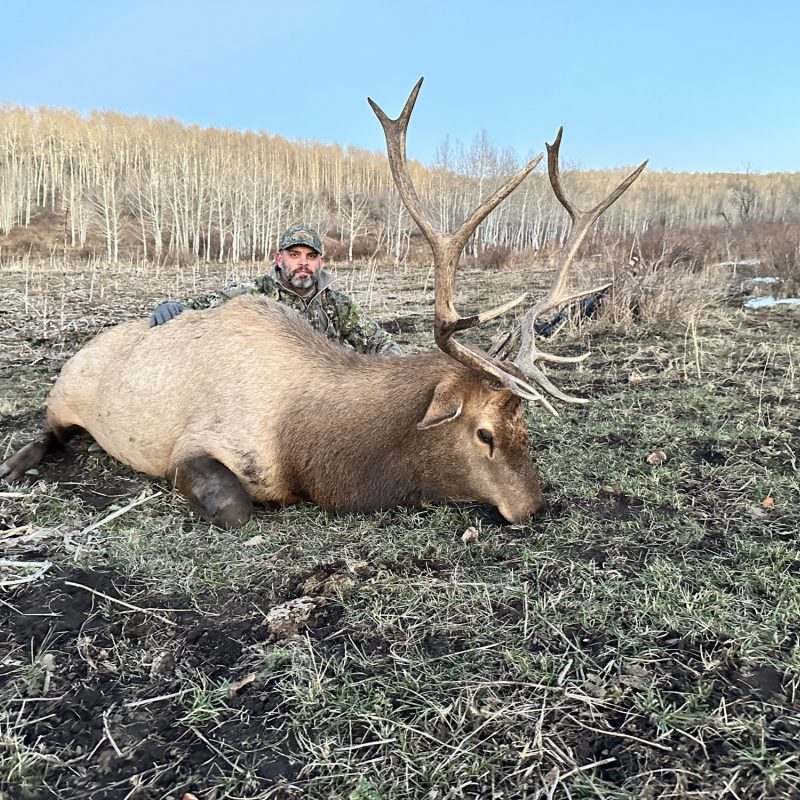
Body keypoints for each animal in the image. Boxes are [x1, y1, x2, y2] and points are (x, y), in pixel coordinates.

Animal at [0, 79, 646, 528]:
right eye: (484, 433)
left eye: (525, 425)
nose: (534, 507)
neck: (312, 450)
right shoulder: (194, 446)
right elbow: (235, 509)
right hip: (66, 391)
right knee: (52, 429)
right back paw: (18, 460)